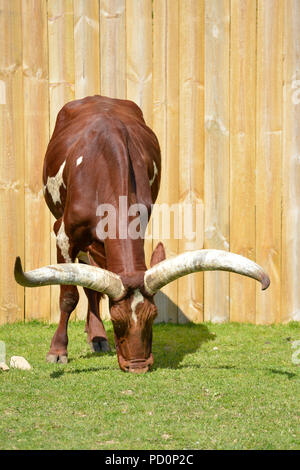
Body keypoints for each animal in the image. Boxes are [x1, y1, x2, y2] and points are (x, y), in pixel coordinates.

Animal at [14, 95, 270, 372]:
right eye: (117, 319)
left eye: (153, 316)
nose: (138, 366)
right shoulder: (63, 234)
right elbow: (69, 296)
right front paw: (58, 351)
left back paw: (97, 337)